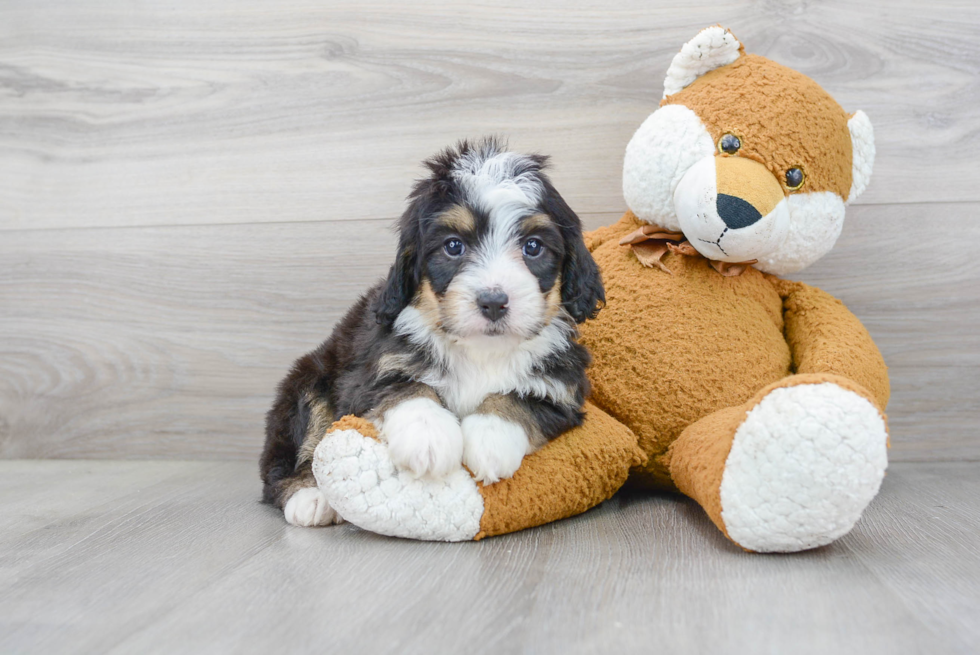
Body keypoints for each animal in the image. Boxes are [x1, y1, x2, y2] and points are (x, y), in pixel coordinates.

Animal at [258, 138, 604, 528]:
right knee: (289, 456)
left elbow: (521, 399)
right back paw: (309, 496)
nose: (493, 302)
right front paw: (427, 437)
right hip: (307, 383)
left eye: (533, 247)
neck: (480, 350)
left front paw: (491, 438)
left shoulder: (562, 388)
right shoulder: (370, 370)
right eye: (453, 246)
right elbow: (409, 387)